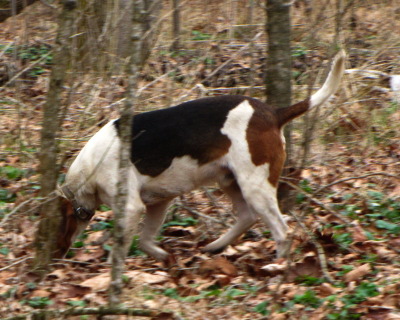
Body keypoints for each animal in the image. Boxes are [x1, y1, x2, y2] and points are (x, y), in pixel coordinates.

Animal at [56, 49, 346, 260]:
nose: (57, 256)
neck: (88, 171)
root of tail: (273, 113)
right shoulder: (158, 203)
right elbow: (146, 240)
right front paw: (165, 257)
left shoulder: (130, 207)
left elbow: (122, 248)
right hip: (230, 181)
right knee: (247, 217)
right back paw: (215, 246)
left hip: (255, 186)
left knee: (283, 232)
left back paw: (277, 268)